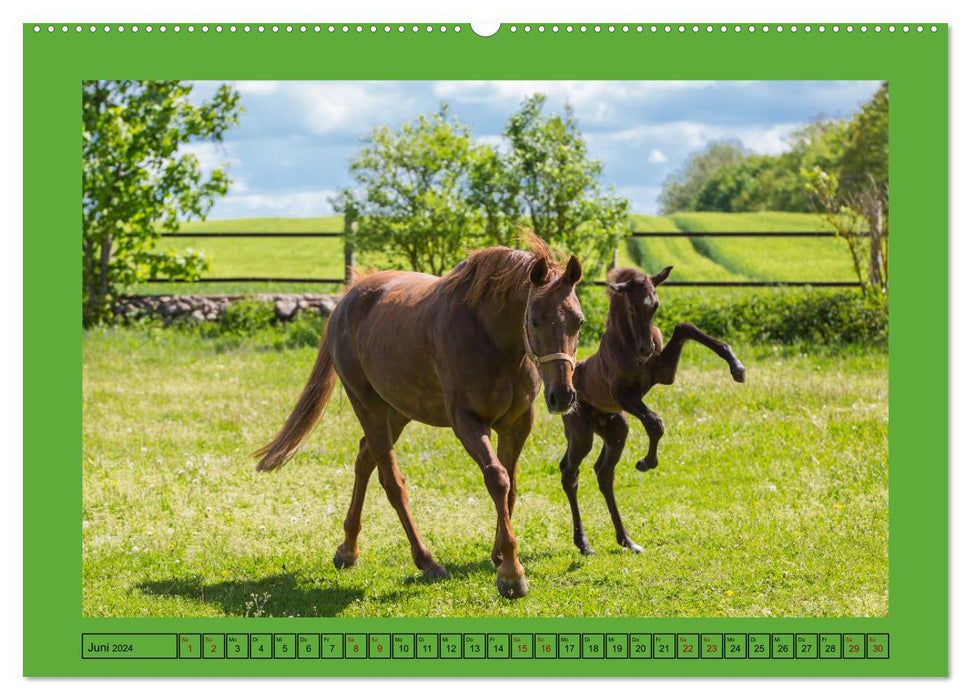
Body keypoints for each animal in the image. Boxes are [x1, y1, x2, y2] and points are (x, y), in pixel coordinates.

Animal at [254, 235, 580, 596]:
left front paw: (498, 555)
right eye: (534, 320)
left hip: (397, 411)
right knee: (392, 482)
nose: (562, 396)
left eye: (578, 322)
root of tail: (350, 297)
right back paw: (426, 561)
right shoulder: (467, 422)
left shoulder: (518, 422)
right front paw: (511, 572)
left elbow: (511, 484)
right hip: (368, 406)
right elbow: (497, 479)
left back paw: (348, 550)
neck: (490, 336)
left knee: (365, 459)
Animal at [560, 266, 748, 556]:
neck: (628, 345)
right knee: (570, 473)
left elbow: (684, 327)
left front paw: (736, 367)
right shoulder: (624, 395)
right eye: (632, 308)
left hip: (616, 429)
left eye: (655, 305)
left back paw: (627, 541)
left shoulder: (664, 373)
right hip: (581, 433)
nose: (646, 349)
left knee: (603, 473)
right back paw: (584, 543)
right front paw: (646, 462)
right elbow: (655, 422)